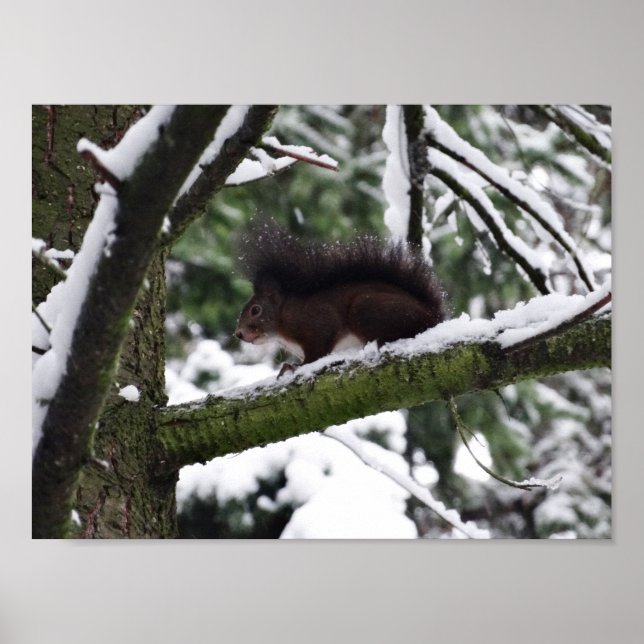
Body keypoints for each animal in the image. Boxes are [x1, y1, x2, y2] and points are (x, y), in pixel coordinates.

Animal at [235, 220, 446, 376]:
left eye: (255, 310)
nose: (239, 333)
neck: (282, 321)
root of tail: (432, 314)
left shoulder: (316, 322)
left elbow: (317, 351)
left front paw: (295, 367)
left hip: (365, 308)